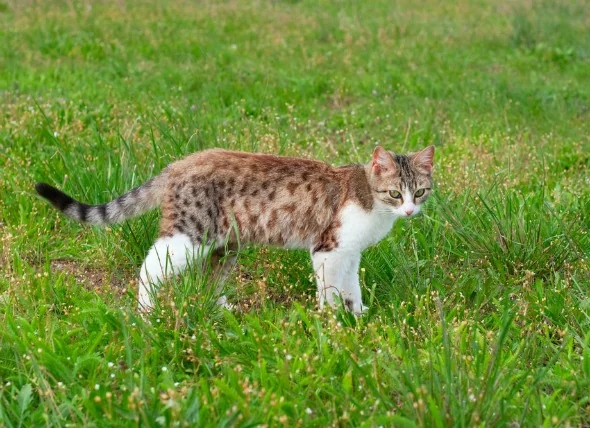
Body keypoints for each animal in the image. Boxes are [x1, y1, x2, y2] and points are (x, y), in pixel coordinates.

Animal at [35, 145, 434, 312]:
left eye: (420, 191)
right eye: (395, 192)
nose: (410, 210)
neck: (370, 199)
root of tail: (180, 163)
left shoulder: (350, 254)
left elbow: (352, 287)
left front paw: (358, 314)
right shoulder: (328, 249)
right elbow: (331, 291)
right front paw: (335, 321)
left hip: (226, 243)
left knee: (209, 278)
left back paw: (221, 308)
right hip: (189, 235)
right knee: (150, 266)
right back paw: (146, 312)